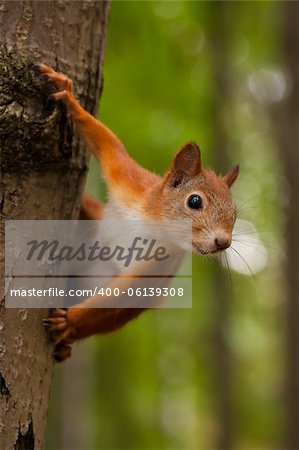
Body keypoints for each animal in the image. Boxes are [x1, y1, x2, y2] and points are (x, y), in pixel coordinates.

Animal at [38, 64, 240, 362]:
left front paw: (70, 323)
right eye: (194, 201)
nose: (223, 242)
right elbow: (109, 145)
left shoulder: (158, 266)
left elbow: (122, 298)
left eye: (235, 214)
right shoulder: (130, 181)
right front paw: (70, 98)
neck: (153, 224)